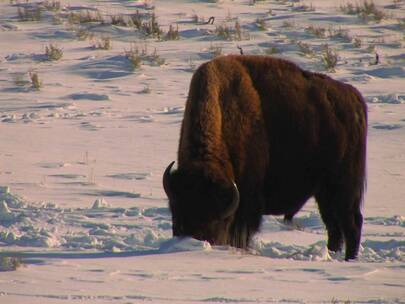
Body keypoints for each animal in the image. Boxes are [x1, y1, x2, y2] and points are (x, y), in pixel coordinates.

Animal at [162, 54, 366, 258]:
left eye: (213, 224)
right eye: (177, 215)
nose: (191, 241)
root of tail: (355, 99)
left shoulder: (247, 204)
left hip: (344, 187)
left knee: (351, 223)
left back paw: (349, 259)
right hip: (324, 192)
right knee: (334, 226)